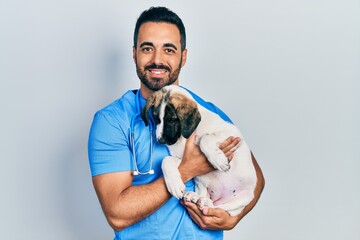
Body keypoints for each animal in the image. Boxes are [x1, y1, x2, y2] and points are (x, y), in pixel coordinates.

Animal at [141, 85, 256, 217]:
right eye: (156, 118)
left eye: (172, 119)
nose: (161, 140)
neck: (183, 137)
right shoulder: (184, 159)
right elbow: (166, 160)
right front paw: (174, 185)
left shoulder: (233, 134)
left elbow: (205, 139)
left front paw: (218, 160)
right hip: (201, 184)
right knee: (210, 201)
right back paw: (196, 198)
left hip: (244, 197)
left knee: (220, 208)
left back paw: (204, 202)